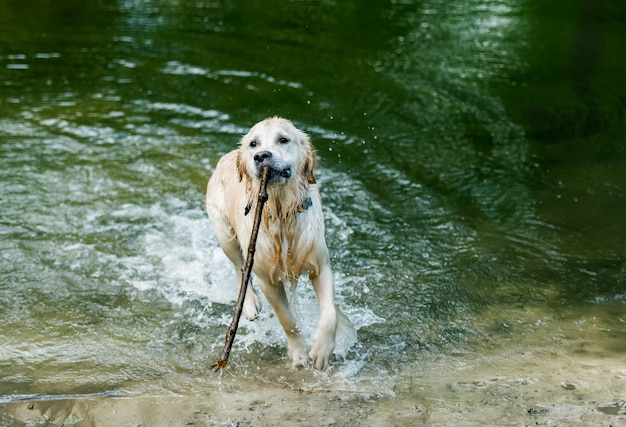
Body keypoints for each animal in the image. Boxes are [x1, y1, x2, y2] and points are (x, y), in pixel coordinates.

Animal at [205, 117, 342, 372]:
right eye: (253, 143)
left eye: (283, 139)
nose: (261, 156)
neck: (281, 213)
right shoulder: (266, 279)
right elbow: (286, 319)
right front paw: (298, 353)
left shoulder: (321, 266)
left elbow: (330, 314)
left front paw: (321, 350)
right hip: (224, 233)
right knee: (239, 267)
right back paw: (248, 303)